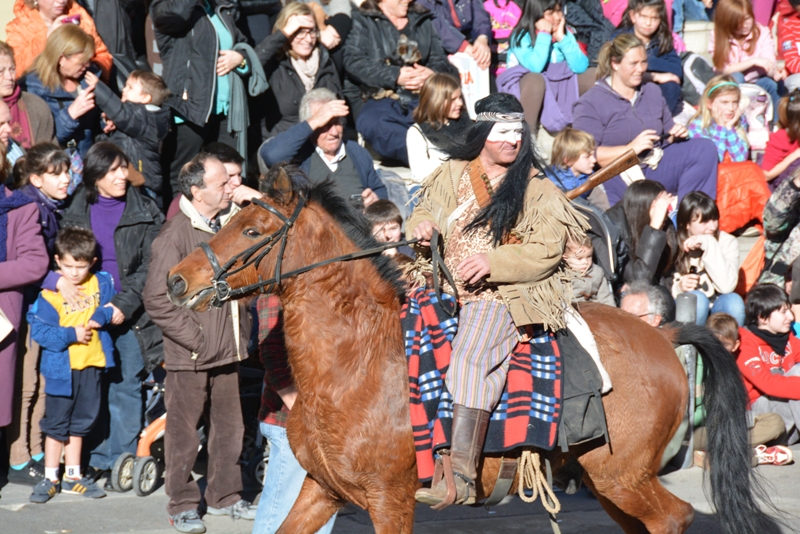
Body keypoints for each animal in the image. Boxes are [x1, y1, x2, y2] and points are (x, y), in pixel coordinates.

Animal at [167, 174, 776, 532]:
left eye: (251, 229)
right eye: (225, 219)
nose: (177, 280)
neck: (352, 361)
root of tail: (663, 335)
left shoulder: (389, 499)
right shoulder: (323, 489)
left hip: (623, 476)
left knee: (673, 519)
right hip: (610, 479)